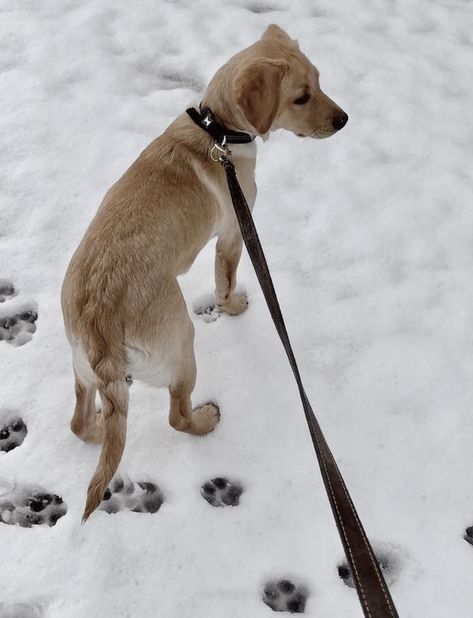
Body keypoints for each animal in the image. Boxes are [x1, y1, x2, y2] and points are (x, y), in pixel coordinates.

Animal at [60, 24, 346, 516]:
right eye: (301, 97)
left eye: (319, 82)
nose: (344, 119)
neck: (219, 130)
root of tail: (99, 321)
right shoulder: (234, 232)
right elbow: (224, 279)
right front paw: (232, 306)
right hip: (182, 345)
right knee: (176, 415)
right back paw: (205, 420)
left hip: (85, 373)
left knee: (80, 422)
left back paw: (96, 426)